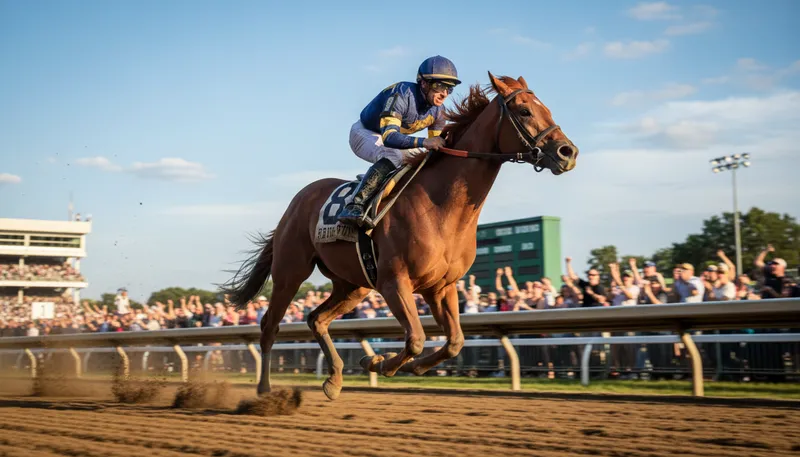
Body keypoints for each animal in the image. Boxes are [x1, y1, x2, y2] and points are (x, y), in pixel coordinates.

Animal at [221, 72, 579, 400]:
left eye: (546, 108)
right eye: (524, 111)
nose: (568, 152)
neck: (441, 207)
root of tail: (298, 200)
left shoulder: (441, 287)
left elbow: (454, 342)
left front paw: (398, 365)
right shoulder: (395, 282)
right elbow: (416, 338)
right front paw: (378, 362)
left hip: (353, 284)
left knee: (316, 318)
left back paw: (334, 379)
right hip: (290, 270)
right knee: (270, 325)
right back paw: (265, 389)